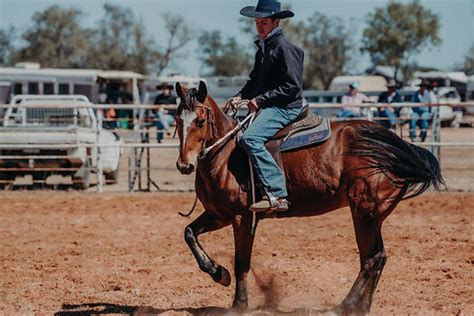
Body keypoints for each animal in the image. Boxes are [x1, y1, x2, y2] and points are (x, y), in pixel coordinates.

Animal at [175, 81, 444, 314]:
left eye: (200, 120)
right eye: (178, 119)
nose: (184, 166)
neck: (226, 156)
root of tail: (395, 146)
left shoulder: (243, 218)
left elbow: (242, 262)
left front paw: (239, 305)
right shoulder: (219, 215)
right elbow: (189, 233)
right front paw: (218, 273)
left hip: (365, 213)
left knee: (371, 258)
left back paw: (345, 306)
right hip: (371, 216)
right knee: (378, 257)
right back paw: (361, 307)